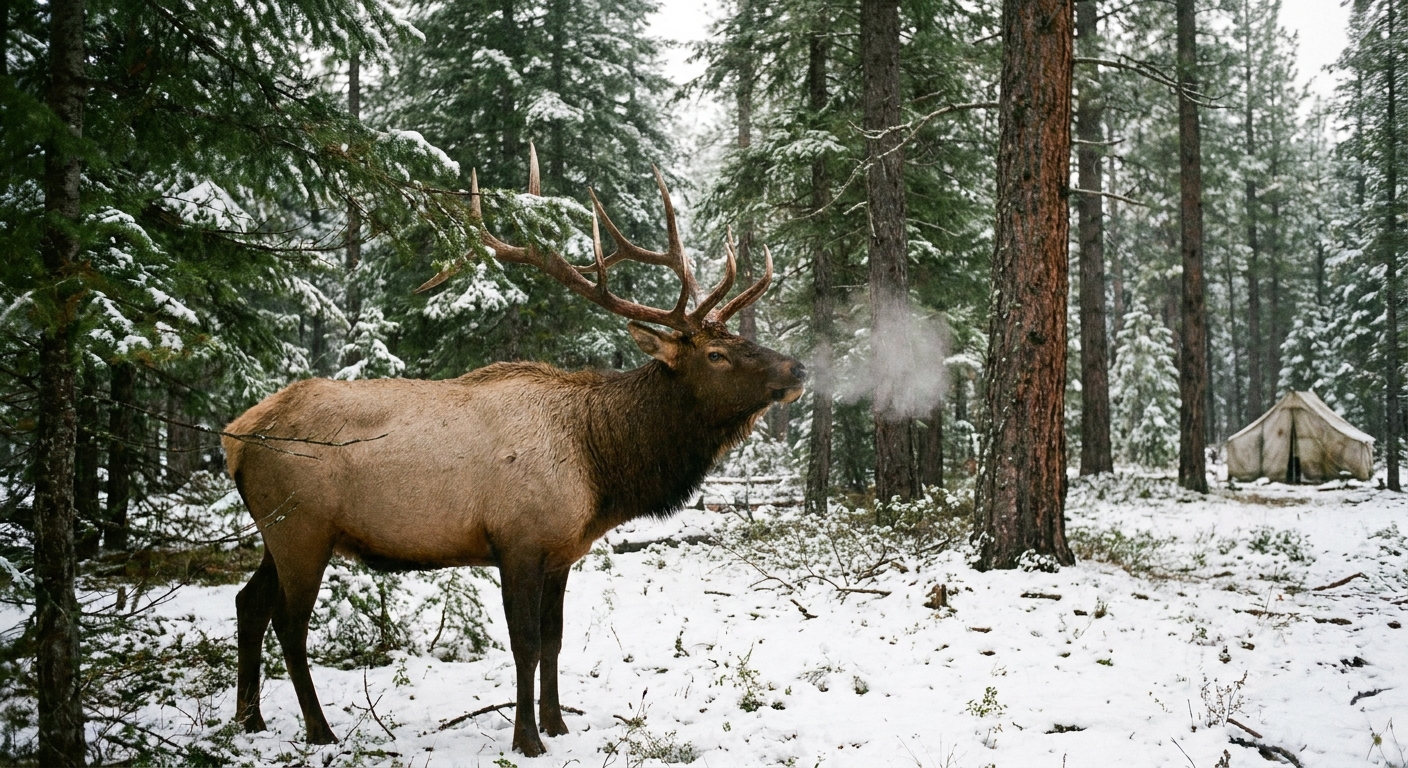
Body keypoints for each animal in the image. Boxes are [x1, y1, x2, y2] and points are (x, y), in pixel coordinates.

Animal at [222, 147, 806, 756]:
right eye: (717, 354)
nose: (798, 370)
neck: (600, 465)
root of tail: (235, 437)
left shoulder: (561, 552)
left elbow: (553, 641)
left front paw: (558, 724)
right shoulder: (516, 541)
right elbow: (523, 643)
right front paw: (527, 738)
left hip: (279, 531)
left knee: (248, 604)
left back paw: (250, 720)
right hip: (303, 528)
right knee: (288, 624)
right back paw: (319, 729)